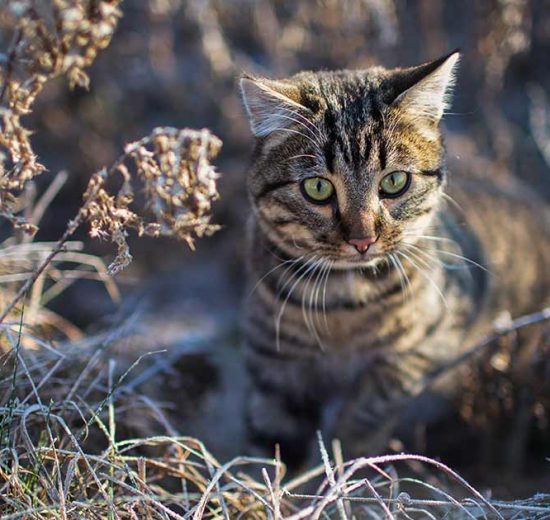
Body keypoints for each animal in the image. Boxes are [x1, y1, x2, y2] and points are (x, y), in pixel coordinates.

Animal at [239, 52, 550, 468]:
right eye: (317, 187)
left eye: (394, 182)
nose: (362, 240)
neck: (342, 305)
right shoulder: (274, 364)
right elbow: (268, 444)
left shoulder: (427, 346)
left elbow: (370, 408)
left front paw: (344, 463)